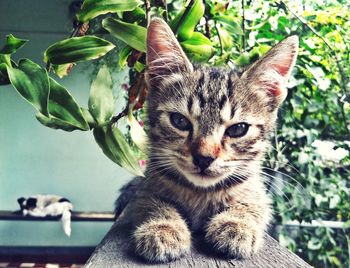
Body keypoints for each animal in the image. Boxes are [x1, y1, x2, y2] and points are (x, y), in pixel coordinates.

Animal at [117, 18, 298, 262]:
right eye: (179, 121)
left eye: (238, 129)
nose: (204, 158)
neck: (201, 193)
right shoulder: (145, 188)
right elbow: (151, 202)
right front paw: (163, 227)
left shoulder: (256, 189)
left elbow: (253, 204)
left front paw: (237, 224)